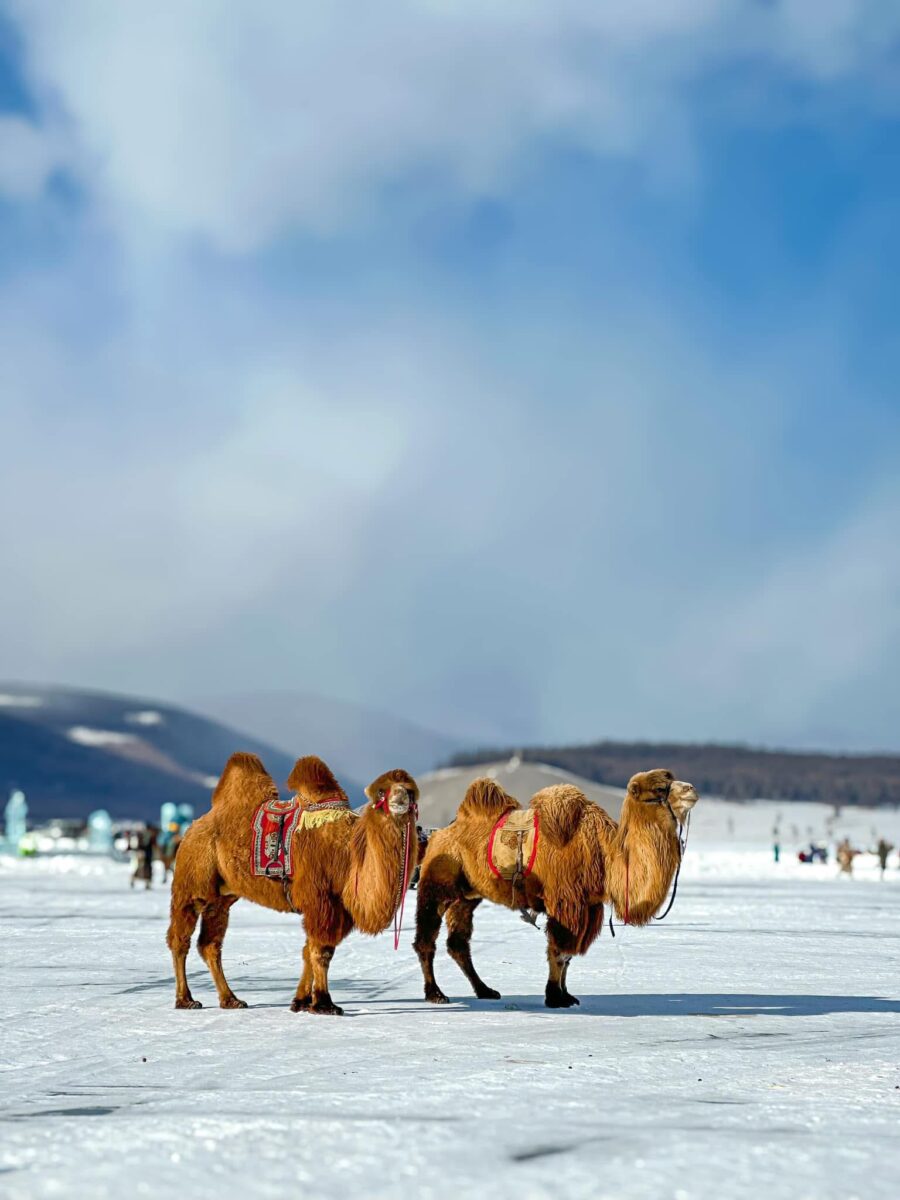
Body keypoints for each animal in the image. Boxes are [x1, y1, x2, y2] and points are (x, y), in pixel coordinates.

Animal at [167, 753, 419, 1014]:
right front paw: (325, 1003)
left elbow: (309, 950)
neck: (348, 854)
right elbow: (321, 951)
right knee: (180, 938)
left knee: (210, 944)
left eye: (410, 791)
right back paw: (185, 1000)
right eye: (382, 791)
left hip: (221, 898)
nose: (400, 798)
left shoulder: (333, 906)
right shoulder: (320, 899)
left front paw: (301, 1001)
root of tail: (194, 826)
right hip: (192, 880)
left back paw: (231, 1000)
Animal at [414, 768, 698, 1008]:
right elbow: (559, 951)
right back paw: (436, 994)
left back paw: (485, 990)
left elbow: (569, 955)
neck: (602, 853)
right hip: (437, 883)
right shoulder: (566, 900)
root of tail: (438, 835)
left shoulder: (588, 906)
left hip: (467, 894)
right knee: (426, 938)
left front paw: (567, 996)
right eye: (660, 788)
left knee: (458, 943)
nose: (691, 789)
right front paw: (554, 997)